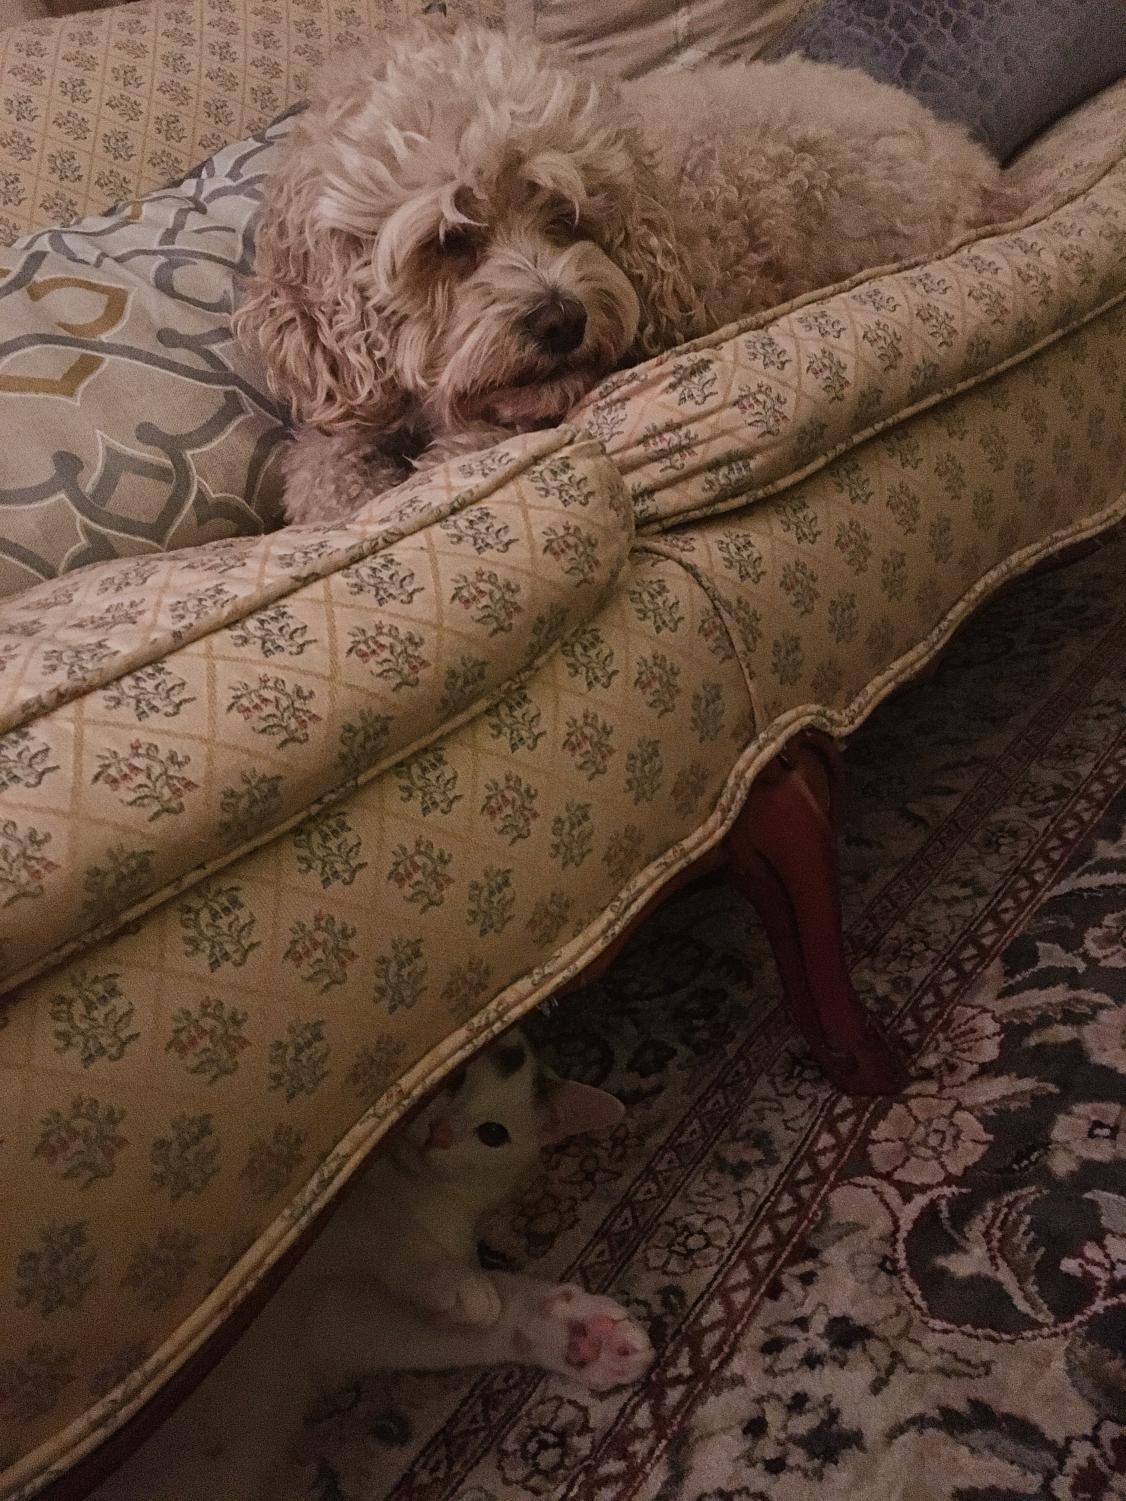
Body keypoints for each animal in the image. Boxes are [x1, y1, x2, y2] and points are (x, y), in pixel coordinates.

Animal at [101, 1032, 657, 1501]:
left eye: (493, 1133)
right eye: (454, 1078)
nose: (439, 1134)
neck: (411, 1186)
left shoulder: (329, 1323)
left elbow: (484, 1316)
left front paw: (580, 1334)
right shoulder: (314, 1235)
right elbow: (386, 1235)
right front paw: (457, 1283)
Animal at [234, 24, 1008, 528]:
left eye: (566, 215)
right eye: (450, 240)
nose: (561, 320)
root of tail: (966, 155)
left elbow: (462, 448)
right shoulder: (347, 407)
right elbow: (322, 467)